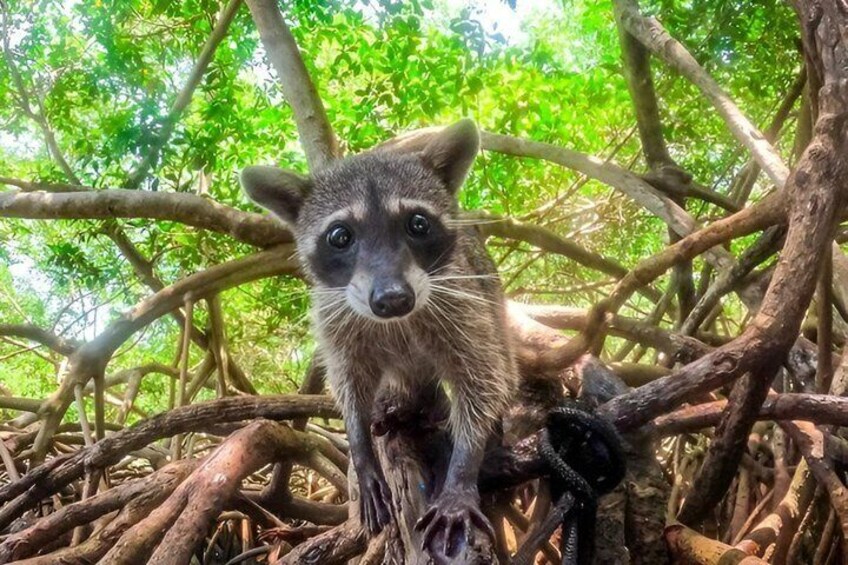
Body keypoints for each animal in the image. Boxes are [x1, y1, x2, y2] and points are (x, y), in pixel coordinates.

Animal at [241, 120, 517, 557]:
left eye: (418, 224)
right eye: (340, 236)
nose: (393, 299)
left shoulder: (463, 302)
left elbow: (483, 381)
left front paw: (462, 471)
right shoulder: (334, 315)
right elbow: (348, 383)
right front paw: (360, 448)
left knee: (502, 367)